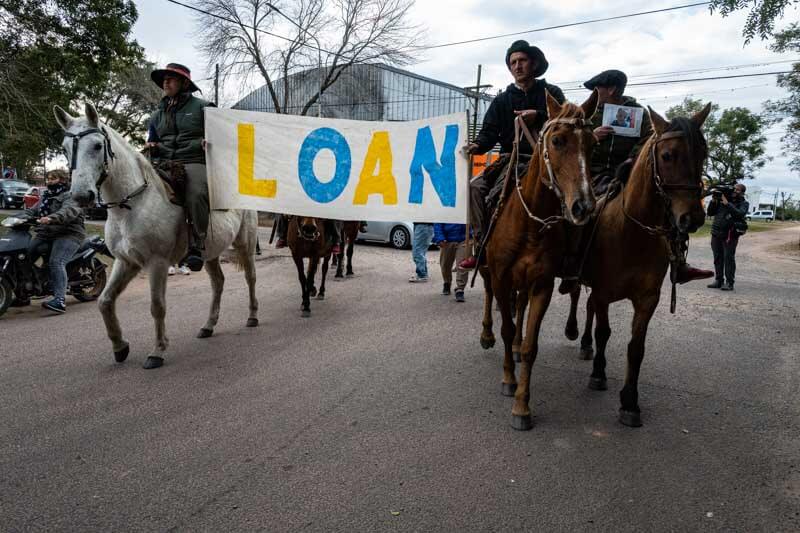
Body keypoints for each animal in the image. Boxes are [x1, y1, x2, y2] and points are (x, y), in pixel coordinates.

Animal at [54, 102, 258, 368]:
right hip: (210, 252)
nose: (81, 196)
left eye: (98, 146)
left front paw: (157, 351)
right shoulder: (126, 262)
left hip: (246, 244)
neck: (131, 205)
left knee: (250, 278)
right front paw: (120, 347)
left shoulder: (157, 263)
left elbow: (157, 306)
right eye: (65, 149)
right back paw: (208, 326)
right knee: (218, 283)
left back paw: (252, 317)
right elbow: (105, 301)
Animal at [478, 91, 596, 430]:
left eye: (593, 144)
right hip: (489, 269)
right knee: (489, 295)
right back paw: (486, 335)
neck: (530, 224)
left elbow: (531, 346)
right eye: (557, 140)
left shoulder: (541, 284)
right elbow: (506, 327)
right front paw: (508, 381)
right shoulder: (502, 278)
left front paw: (522, 406)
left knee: (520, 307)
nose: (583, 206)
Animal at [564, 106, 712, 426]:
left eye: (703, 154)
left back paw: (585, 344)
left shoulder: (648, 299)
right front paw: (598, 374)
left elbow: (636, 348)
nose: (692, 218)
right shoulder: (604, 292)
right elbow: (604, 332)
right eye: (667, 155)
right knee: (578, 297)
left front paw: (630, 401)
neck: (632, 232)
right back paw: (575, 333)